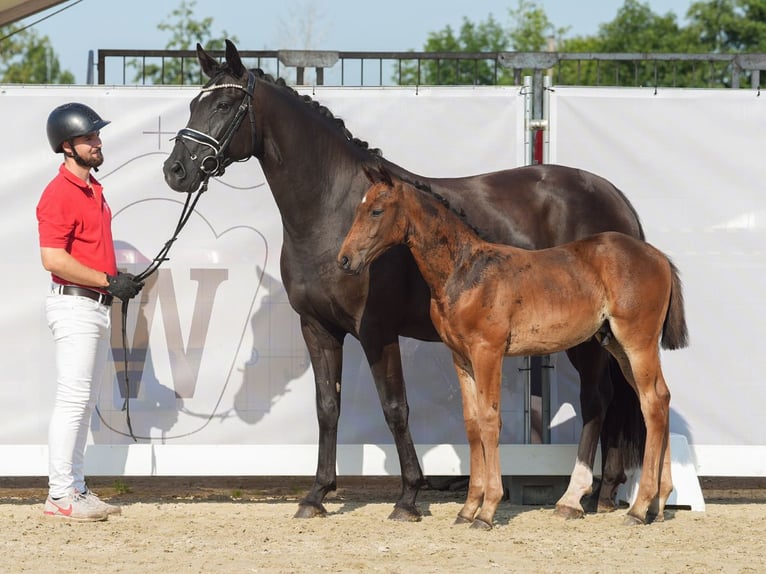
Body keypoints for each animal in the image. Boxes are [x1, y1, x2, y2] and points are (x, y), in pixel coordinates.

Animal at [164, 40, 656, 524]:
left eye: (224, 104)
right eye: (193, 104)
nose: (176, 170)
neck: (333, 210)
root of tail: (614, 198)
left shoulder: (377, 331)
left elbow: (395, 408)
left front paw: (408, 498)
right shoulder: (318, 328)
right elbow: (328, 409)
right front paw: (316, 495)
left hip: (587, 339)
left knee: (597, 400)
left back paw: (575, 498)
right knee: (615, 399)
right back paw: (603, 494)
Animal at [340, 168, 688, 532]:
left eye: (376, 210)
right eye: (358, 208)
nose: (345, 259)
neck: (464, 271)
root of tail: (659, 257)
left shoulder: (488, 352)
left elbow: (490, 420)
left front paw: (487, 510)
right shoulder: (461, 358)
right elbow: (472, 423)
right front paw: (467, 509)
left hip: (637, 343)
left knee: (651, 404)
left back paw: (637, 507)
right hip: (619, 348)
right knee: (660, 398)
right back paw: (658, 504)